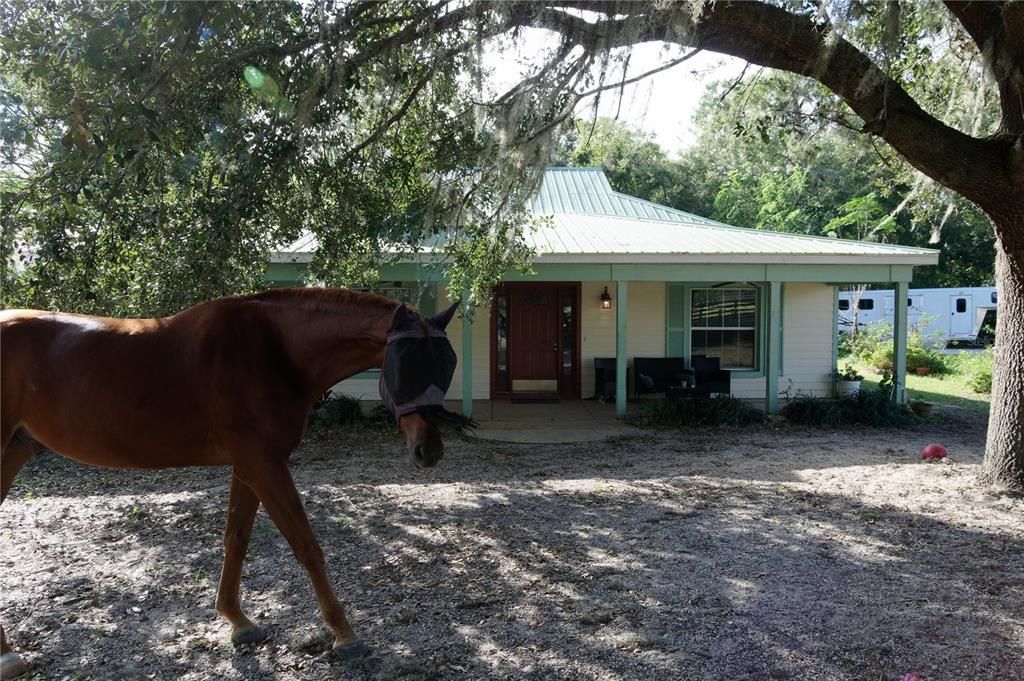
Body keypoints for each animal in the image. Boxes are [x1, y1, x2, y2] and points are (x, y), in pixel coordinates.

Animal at [2, 286, 466, 675]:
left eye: (447, 364)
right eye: (405, 364)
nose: (429, 450)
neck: (272, 350)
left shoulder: (248, 466)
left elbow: (236, 540)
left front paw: (238, 621)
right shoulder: (264, 463)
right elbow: (306, 545)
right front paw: (344, 634)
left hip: (14, 451)